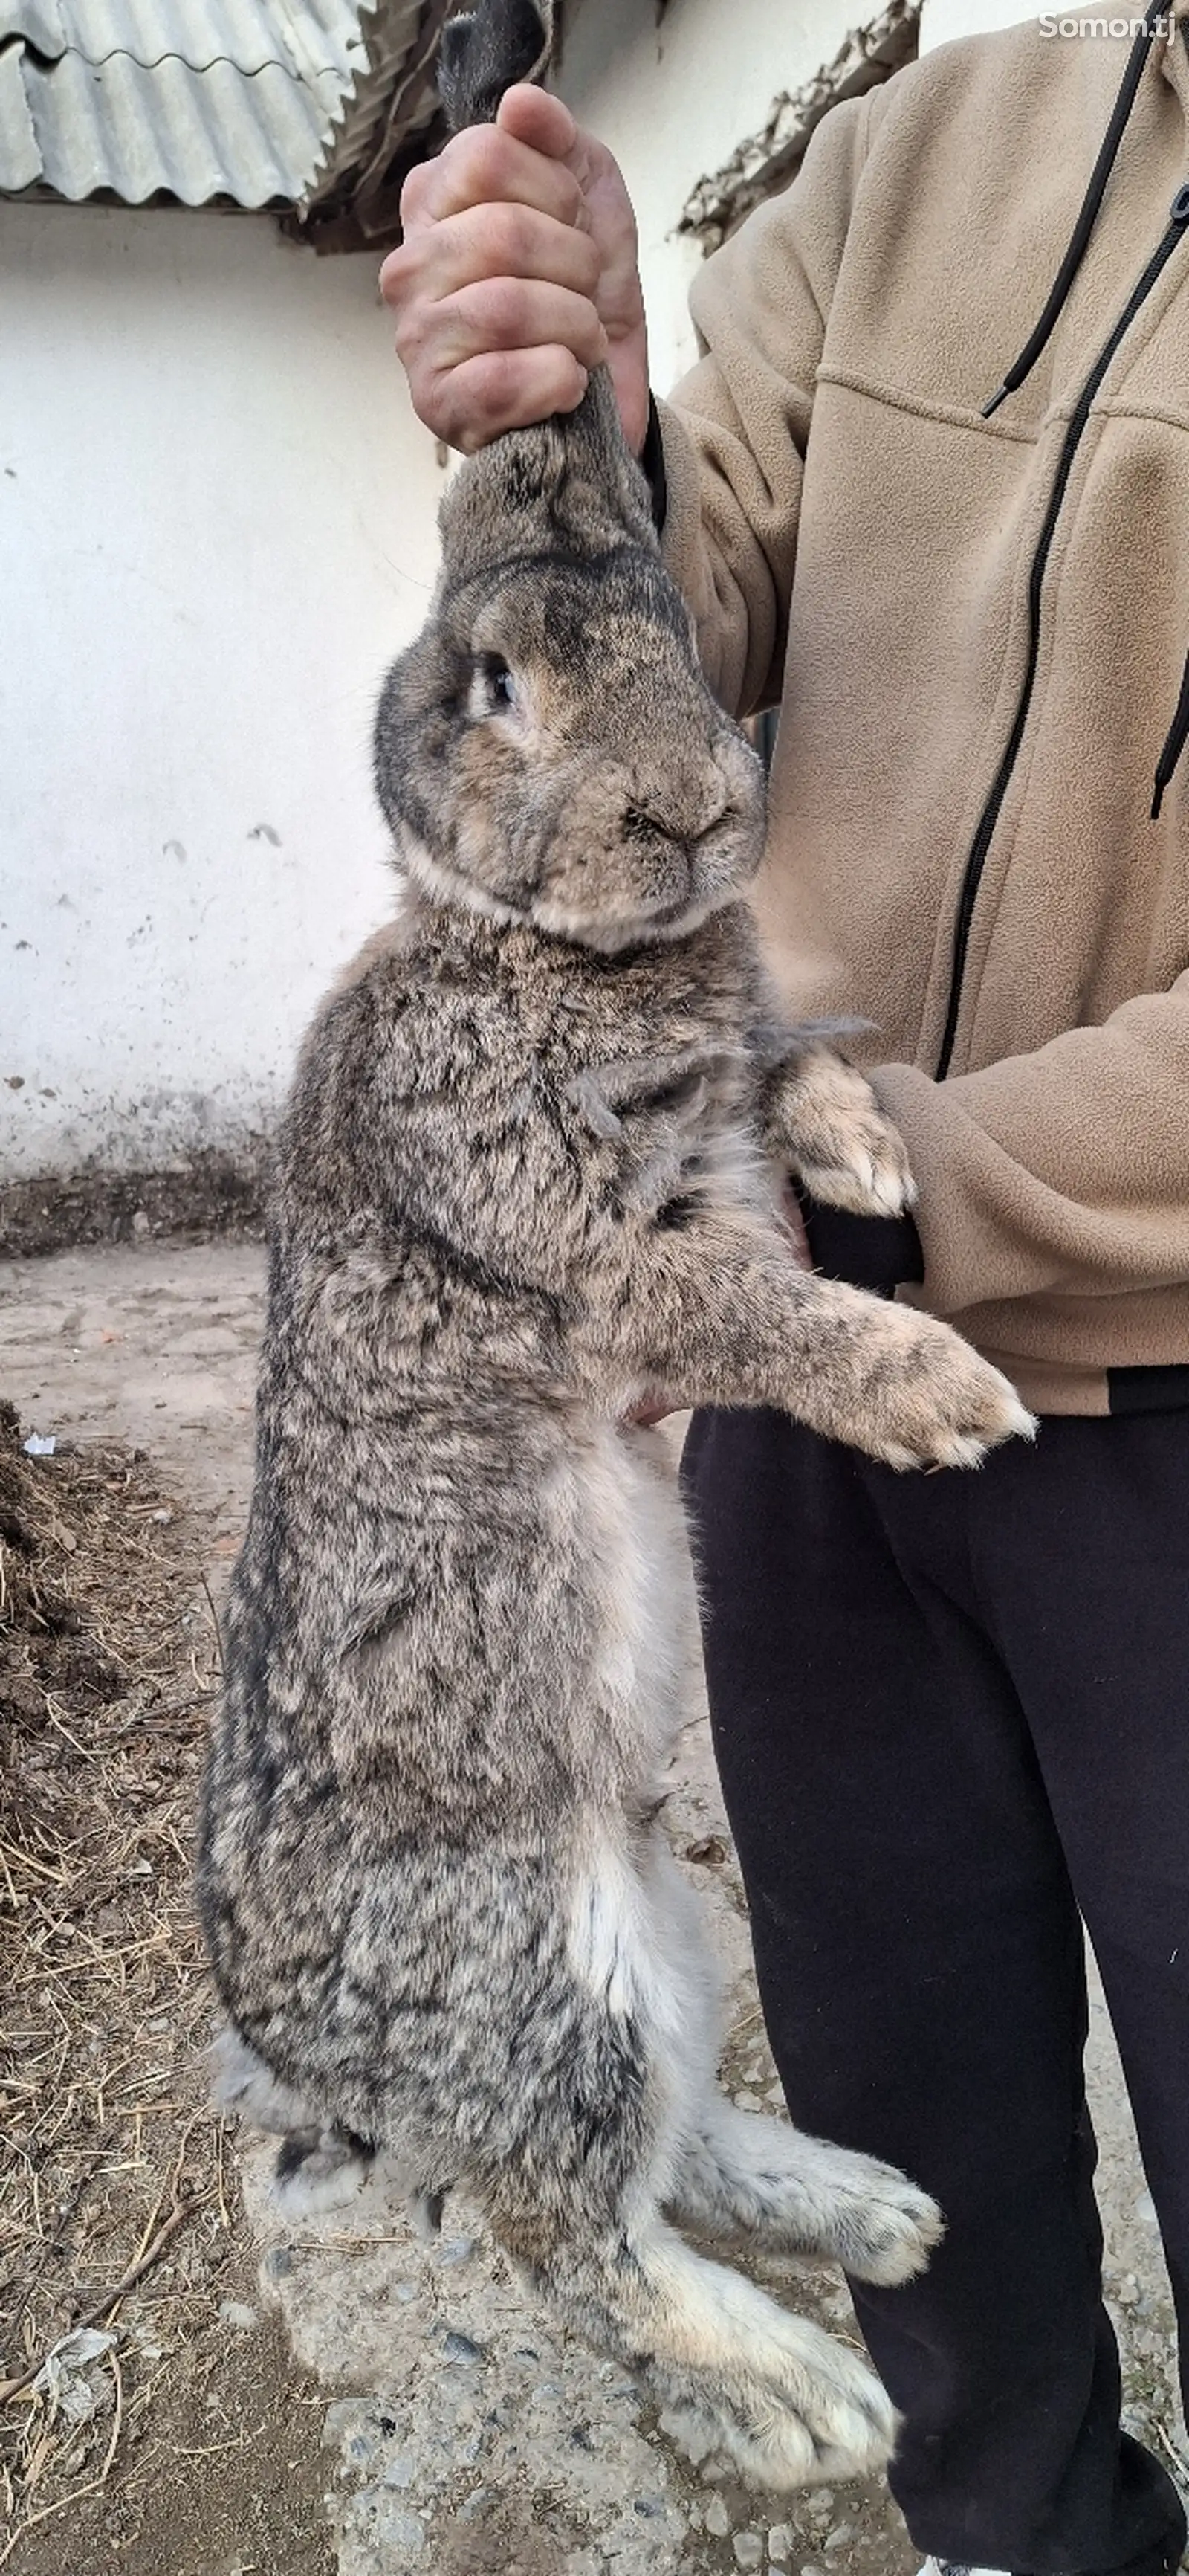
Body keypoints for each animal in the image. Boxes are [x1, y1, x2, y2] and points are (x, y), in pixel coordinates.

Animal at [195, 0, 1029, 2493]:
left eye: (667, 624)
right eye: (490, 692)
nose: (690, 809)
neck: (554, 950)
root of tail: (301, 2057)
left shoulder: (717, 1088)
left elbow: (795, 1076)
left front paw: (869, 1157)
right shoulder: (588, 1254)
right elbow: (754, 1306)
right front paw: (942, 1392)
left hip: (660, 1925)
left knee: (665, 2161)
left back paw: (874, 2214)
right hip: (544, 1976)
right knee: (573, 2241)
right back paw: (815, 2392)